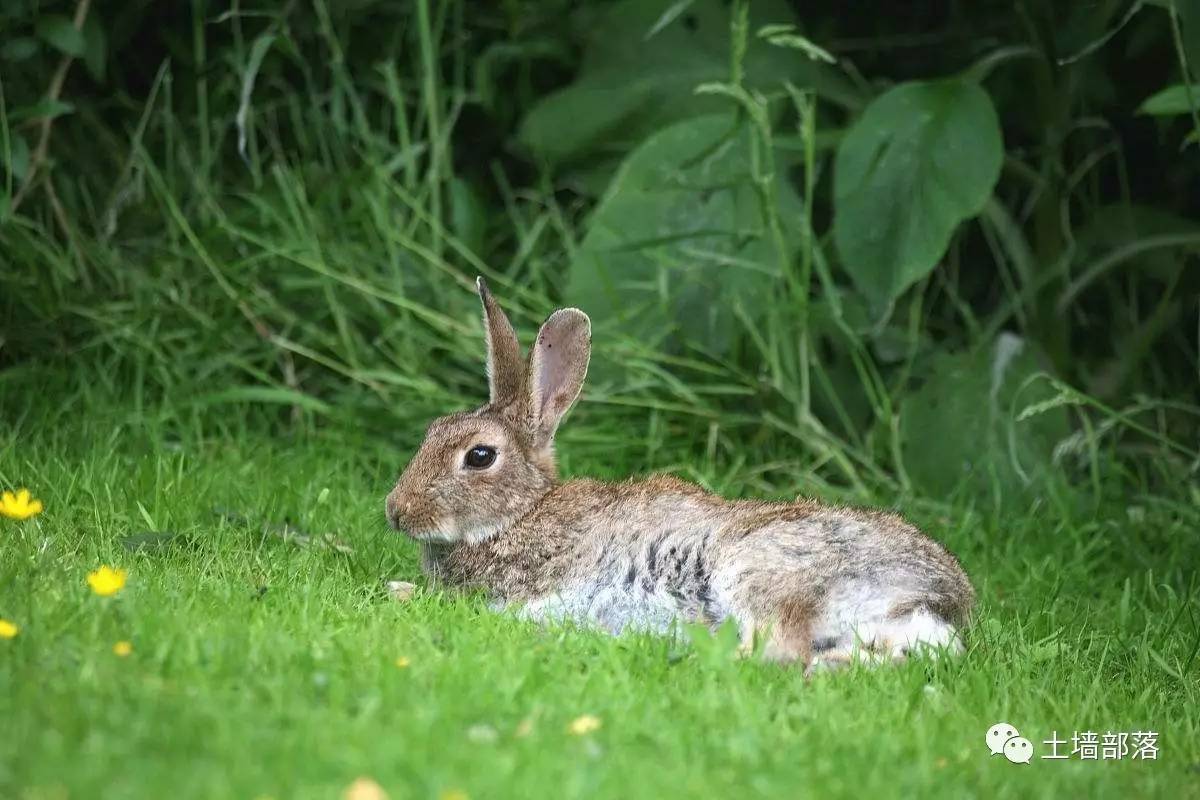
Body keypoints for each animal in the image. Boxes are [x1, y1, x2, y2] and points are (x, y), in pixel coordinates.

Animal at [384, 278, 974, 671]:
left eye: (479, 456)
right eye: (432, 430)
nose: (396, 512)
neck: (520, 514)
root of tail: (938, 599)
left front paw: (404, 593)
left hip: (760, 568)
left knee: (776, 649)